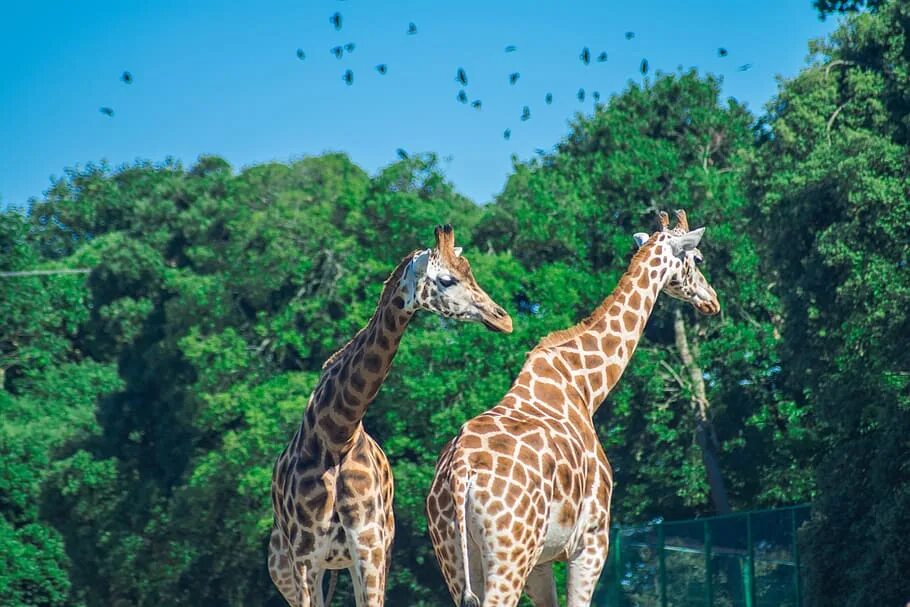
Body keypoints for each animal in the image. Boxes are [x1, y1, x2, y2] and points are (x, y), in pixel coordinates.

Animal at [268, 226, 512, 604]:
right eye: (446, 280)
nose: (504, 319)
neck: (336, 434)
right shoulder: (305, 557)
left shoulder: (370, 548)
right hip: (291, 569)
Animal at [426, 210, 720, 607]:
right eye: (698, 258)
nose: (712, 300)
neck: (584, 387)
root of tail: (460, 475)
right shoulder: (592, 539)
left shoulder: (541, 559)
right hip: (509, 552)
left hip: (455, 556)